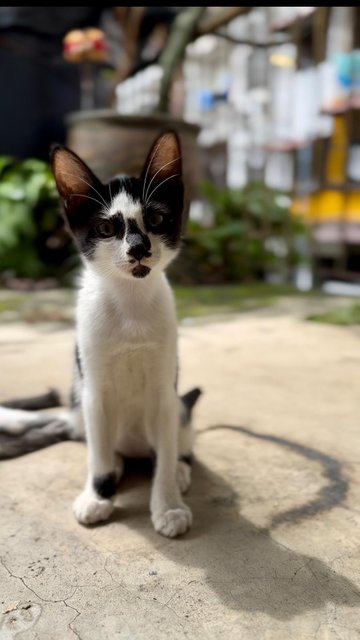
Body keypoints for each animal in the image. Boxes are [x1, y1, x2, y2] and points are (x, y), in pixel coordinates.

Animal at [0, 132, 201, 536]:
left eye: (156, 219)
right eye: (107, 229)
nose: (138, 248)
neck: (130, 304)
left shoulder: (164, 392)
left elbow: (166, 454)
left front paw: (168, 504)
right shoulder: (93, 389)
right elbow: (99, 456)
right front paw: (98, 495)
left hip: (178, 409)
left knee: (176, 445)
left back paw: (180, 471)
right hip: (83, 404)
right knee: (102, 445)